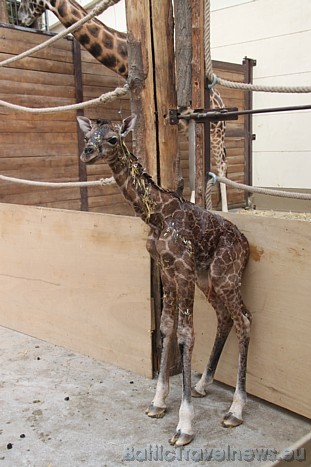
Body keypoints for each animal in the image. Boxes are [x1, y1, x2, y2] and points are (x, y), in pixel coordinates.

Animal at [78, 115, 254, 448]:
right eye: (88, 135)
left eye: (113, 138)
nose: (87, 152)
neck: (156, 217)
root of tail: (247, 244)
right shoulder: (166, 271)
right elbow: (165, 327)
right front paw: (158, 402)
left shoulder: (182, 270)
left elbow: (186, 335)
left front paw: (184, 425)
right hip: (208, 280)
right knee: (226, 317)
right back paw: (202, 384)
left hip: (225, 276)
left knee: (245, 320)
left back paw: (236, 410)